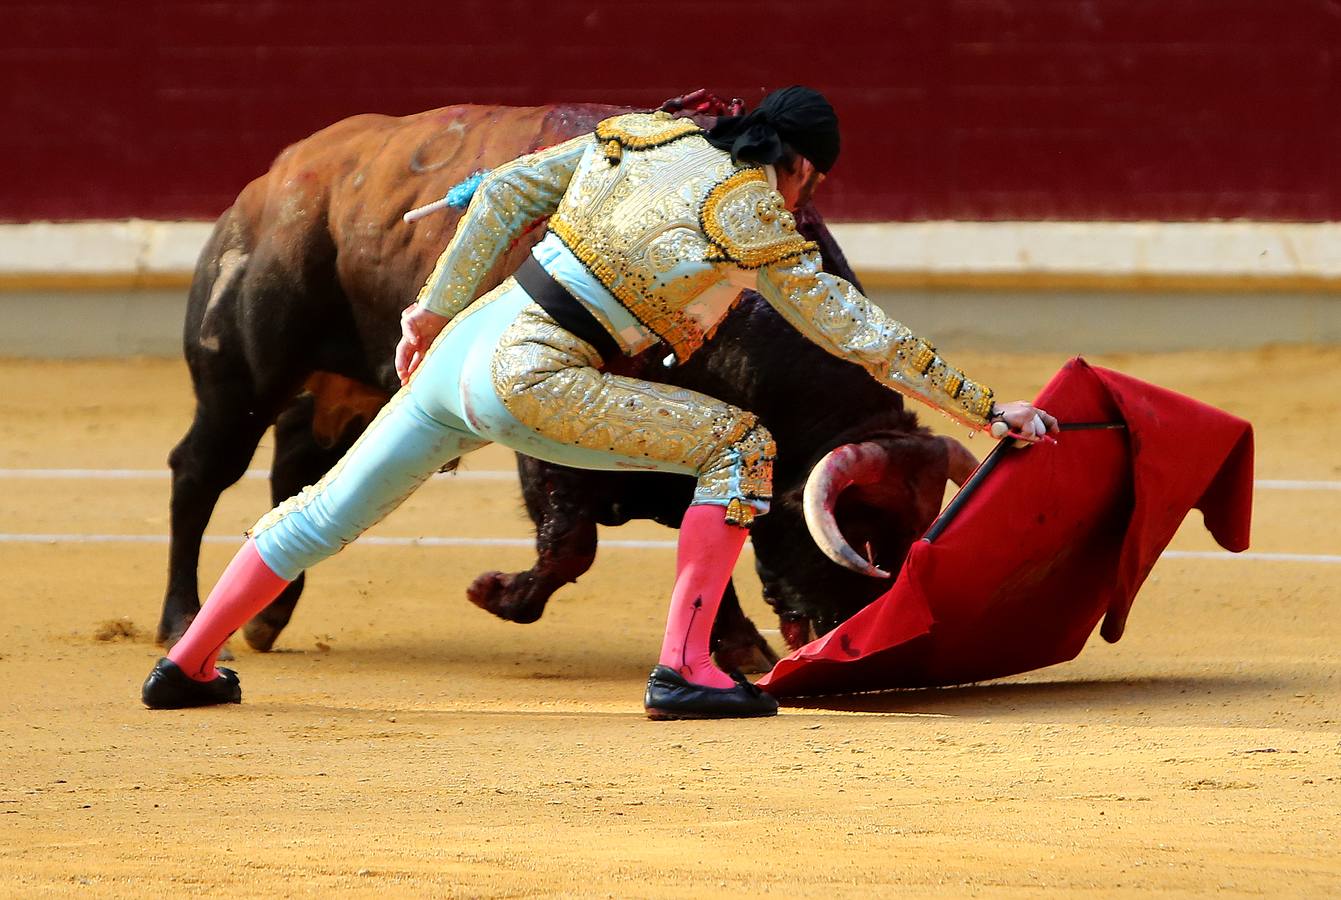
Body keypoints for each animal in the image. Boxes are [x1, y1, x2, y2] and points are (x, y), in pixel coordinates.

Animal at [159, 96, 976, 667]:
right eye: (858, 532)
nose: (852, 638)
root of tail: (275, 177)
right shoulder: (551, 446)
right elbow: (570, 546)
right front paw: (495, 594)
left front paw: (735, 644)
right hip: (240, 376)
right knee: (202, 471)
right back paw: (184, 622)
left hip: (344, 388)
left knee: (298, 464)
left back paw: (266, 617)